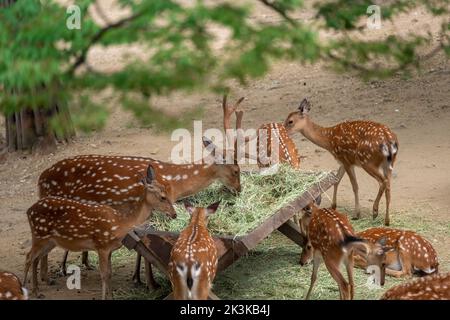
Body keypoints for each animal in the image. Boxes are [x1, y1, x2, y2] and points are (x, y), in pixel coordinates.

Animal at [24, 165, 176, 300]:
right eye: (163, 197)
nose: (174, 214)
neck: (121, 222)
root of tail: (28, 210)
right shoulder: (101, 246)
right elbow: (104, 274)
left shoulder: (109, 250)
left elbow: (109, 274)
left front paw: (111, 297)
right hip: (39, 235)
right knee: (28, 257)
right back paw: (27, 289)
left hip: (50, 240)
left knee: (35, 258)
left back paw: (37, 291)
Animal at [38, 154, 241, 288]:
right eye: (236, 171)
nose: (239, 190)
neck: (175, 183)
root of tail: (40, 180)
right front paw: (149, 283)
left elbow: (142, 243)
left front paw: (139, 278)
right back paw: (49, 276)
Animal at [284, 97, 398, 225]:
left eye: (290, 121)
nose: (283, 130)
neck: (329, 140)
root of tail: (389, 141)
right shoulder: (342, 160)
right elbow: (336, 180)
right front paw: (333, 205)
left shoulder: (347, 160)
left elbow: (354, 186)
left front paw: (356, 214)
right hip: (388, 164)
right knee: (388, 184)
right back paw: (387, 220)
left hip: (367, 161)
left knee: (383, 182)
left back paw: (375, 211)